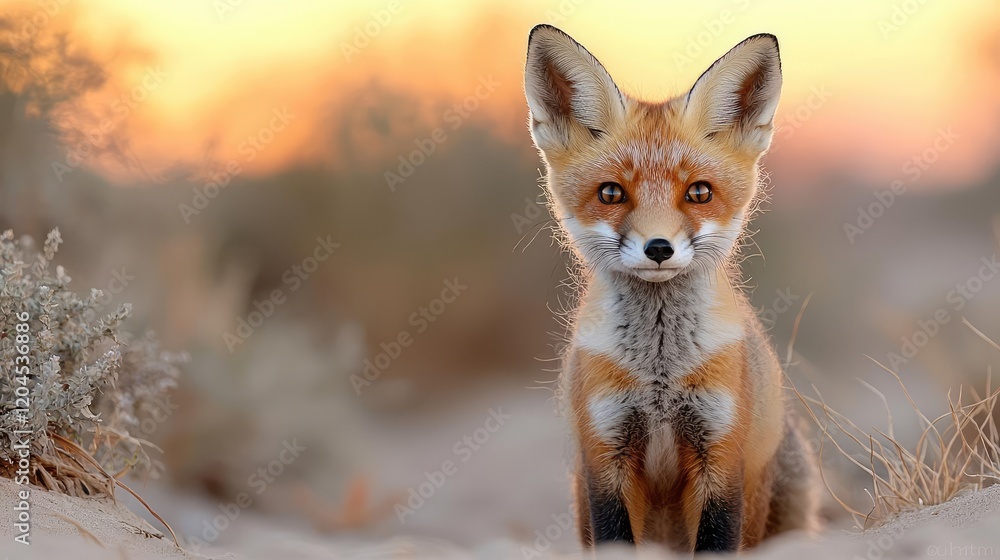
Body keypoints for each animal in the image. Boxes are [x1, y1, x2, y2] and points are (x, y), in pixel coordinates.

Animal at [523, 25, 820, 553]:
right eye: (611, 193)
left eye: (698, 192)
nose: (658, 247)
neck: (659, 371)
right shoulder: (606, 452)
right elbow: (615, 536)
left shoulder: (720, 451)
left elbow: (718, 538)